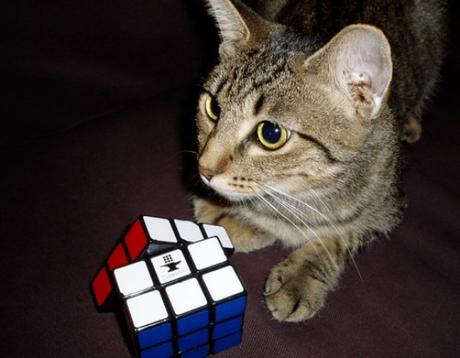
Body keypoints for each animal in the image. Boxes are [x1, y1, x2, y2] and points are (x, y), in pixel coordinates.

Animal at [191, 0, 446, 324]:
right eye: (213, 107)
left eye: (270, 133)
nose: (204, 169)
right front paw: (234, 214)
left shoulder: (391, 208)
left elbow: (340, 236)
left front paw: (300, 277)